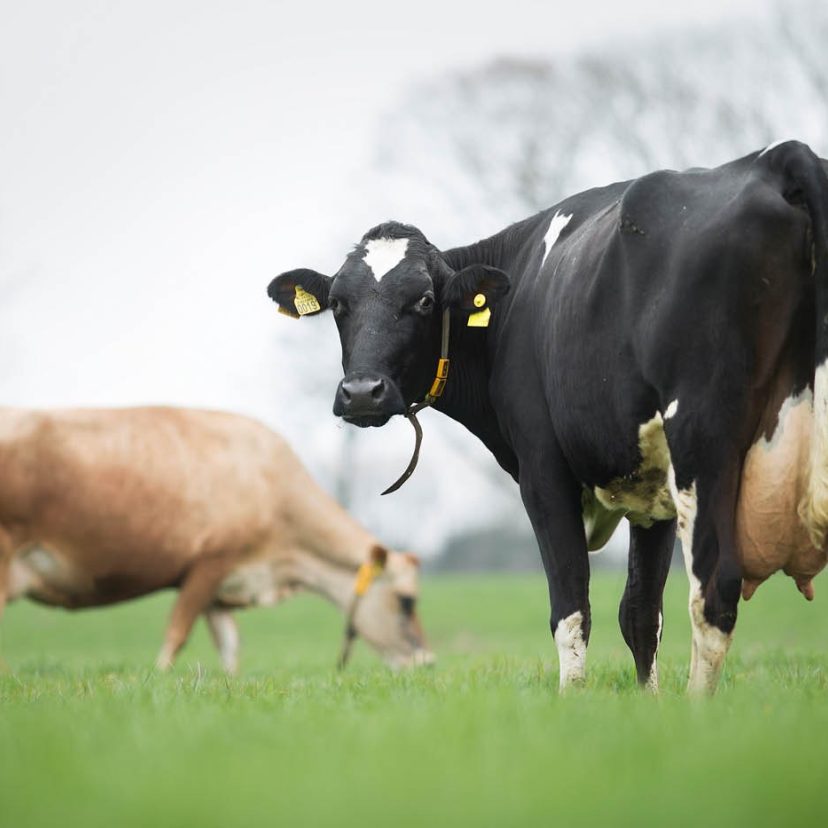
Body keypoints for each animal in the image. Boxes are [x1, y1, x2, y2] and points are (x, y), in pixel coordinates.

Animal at [0, 407, 432, 672]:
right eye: (407, 601)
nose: (427, 662)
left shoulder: (223, 584)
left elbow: (229, 646)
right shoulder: (209, 563)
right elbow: (177, 634)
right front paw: (159, 676)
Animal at [268, 140, 828, 694]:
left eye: (424, 300)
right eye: (338, 304)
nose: (362, 392)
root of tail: (779, 156)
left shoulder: (542, 470)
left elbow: (571, 604)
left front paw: (571, 699)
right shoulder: (651, 482)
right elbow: (640, 612)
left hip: (701, 436)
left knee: (714, 591)